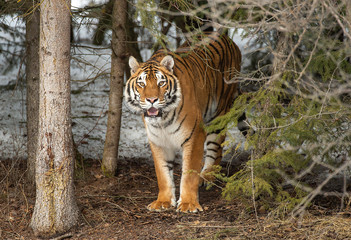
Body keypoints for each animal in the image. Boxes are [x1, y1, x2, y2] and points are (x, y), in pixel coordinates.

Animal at [126, 31, 245, 212]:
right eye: (141, 83)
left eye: (161, 83)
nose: (152, 100)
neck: (162, 120)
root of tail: (227, 38)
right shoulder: (157, 141)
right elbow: (162, 174)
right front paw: (163, 201)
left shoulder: (194, 135)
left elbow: (189, 173)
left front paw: (188, 204)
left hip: (219, 113)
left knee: (216, 149)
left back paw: (207, 177)